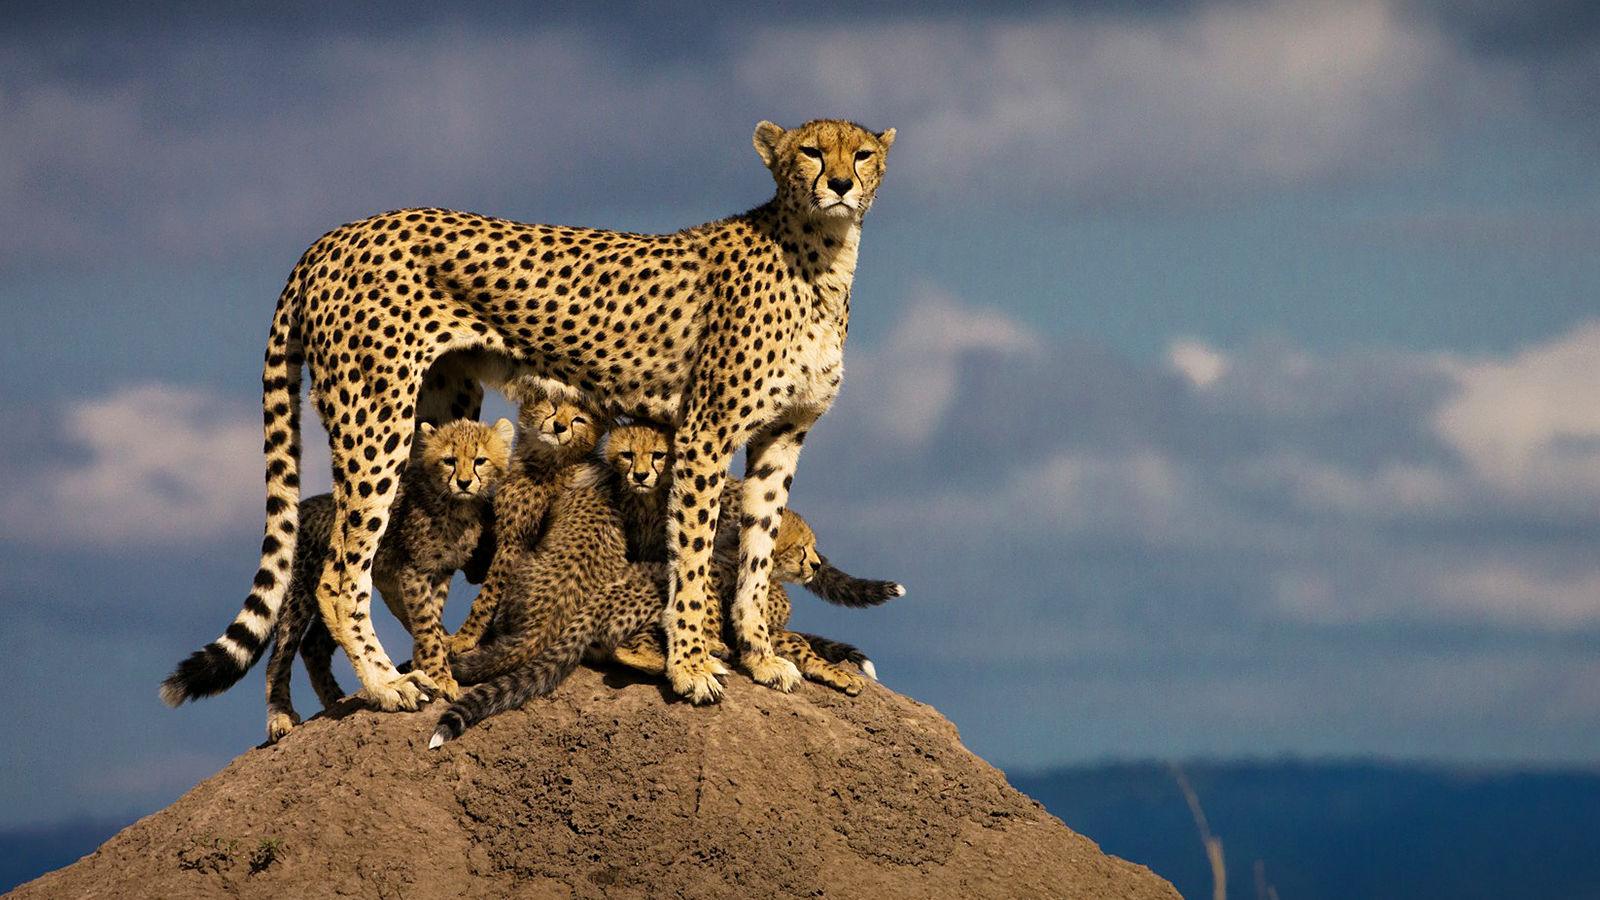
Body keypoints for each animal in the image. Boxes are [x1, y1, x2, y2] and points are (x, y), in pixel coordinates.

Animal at [251, 119, 902, 707]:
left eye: (862, 153)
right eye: (811, 151)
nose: (840, 183)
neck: (823, 257)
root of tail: (334, 235)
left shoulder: (782, 436)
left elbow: (758, 551)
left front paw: (761, 657)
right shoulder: (705, 432)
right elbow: (692, 553)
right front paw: (691, 666)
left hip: (439, 411)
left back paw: (437, 664)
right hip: (374, 414)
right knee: (341, 575)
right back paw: (388, 684)